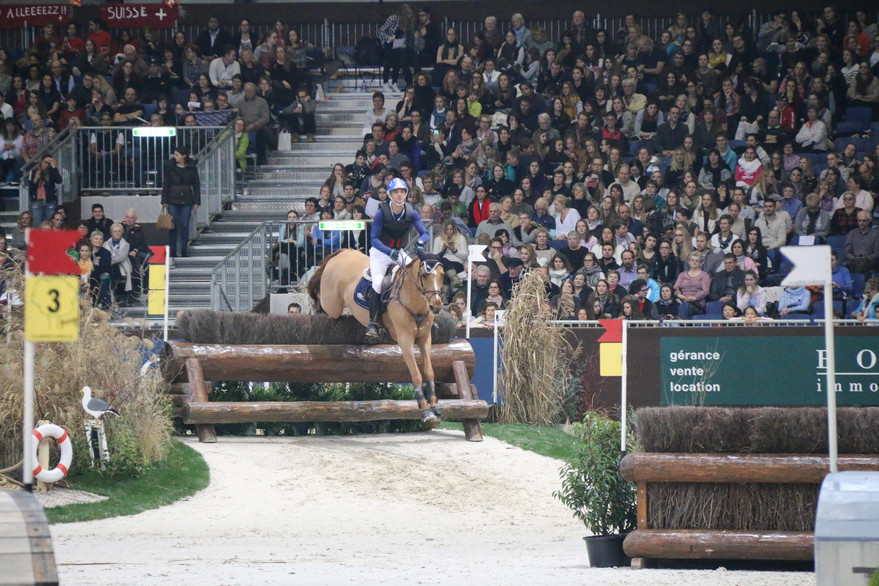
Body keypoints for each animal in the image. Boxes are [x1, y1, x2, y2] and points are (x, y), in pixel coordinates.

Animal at [307, 249, 446, 424]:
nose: (436, 305)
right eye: (424, 275)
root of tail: (343, 252)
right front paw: (426, 411)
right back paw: (315, 308)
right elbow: (416, 374)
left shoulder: (425, 339)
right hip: (332, 304)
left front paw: (434, 407)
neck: (415, 302)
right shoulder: (405, 341)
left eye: (442, 274)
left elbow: (429, 372)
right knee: (321, 302)